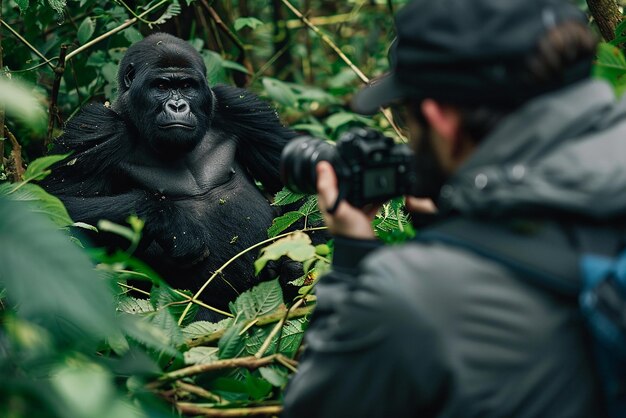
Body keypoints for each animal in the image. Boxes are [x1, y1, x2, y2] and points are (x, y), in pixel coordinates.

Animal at [42, 34, 296, 318]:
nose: (177, 105)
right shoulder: (94, 128)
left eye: (186, 86)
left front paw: (294, 268)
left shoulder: (240, 106)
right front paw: (172, 224)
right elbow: (53, 205)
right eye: (161, 86)